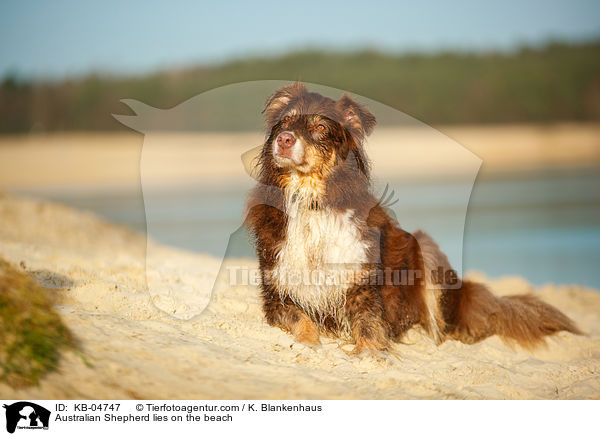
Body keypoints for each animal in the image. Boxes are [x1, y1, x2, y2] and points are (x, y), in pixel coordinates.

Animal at [245, 83, 580, 356]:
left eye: (320, 127)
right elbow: (301, 319)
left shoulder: (363, 289)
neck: (311, 199)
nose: (284, 140)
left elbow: (368, 326)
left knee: (443, 329)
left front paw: (370, 353)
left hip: (426, 248)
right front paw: (309, 344)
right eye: (285, 121)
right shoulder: (276, 293)